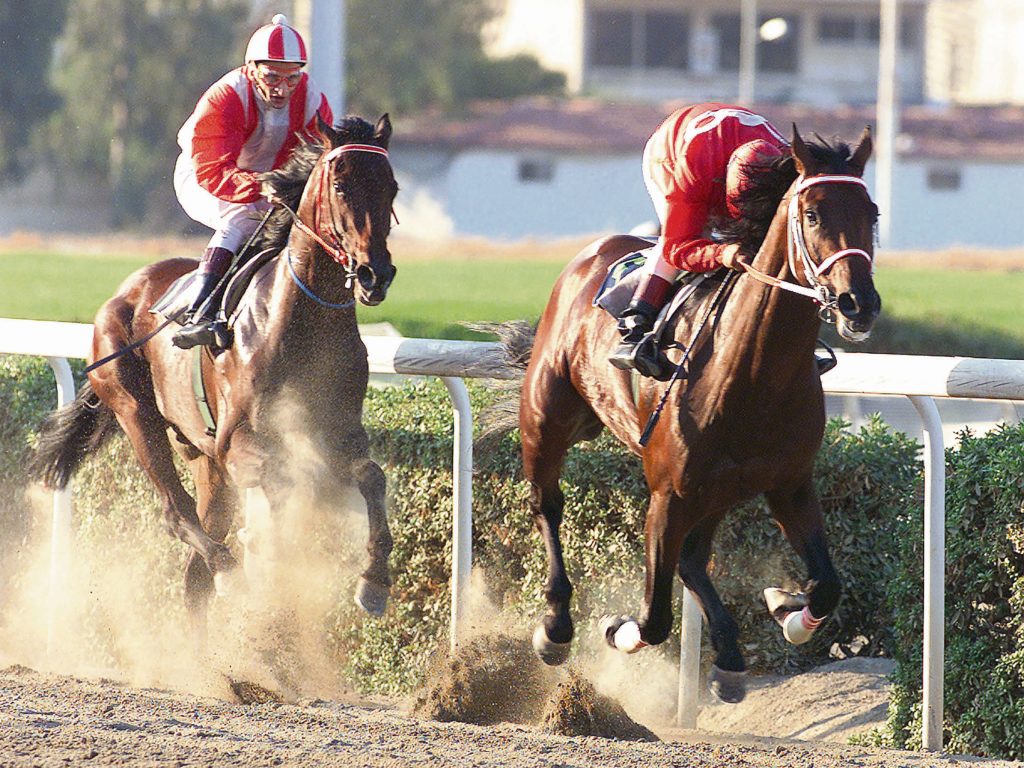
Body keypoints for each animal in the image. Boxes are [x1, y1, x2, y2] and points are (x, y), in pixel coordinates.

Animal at [29, 114, 397, 643]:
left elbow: (370, 475)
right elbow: (278, 480)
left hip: (204, 459)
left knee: (194, 572)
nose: (374, 275)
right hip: (137, 415)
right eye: (341, 185)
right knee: (177, 513)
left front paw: (374, 582)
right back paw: (230, 573)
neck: (304, 319)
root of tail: (125, 291)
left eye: (391, 187)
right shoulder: (236, 440)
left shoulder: (339, 429)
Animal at [512, 124, 880, 704]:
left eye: (873, 213)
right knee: (547, 505)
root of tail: (592, 254)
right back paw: (556, 626)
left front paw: (787, 609)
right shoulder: (668, 495)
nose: (857, 303)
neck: (754, 373)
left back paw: (730, 656)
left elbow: (827, 585)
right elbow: (654, 617)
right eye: (813, 214)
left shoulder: (790, 485)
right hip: (546, 420)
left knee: (692, 559)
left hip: (717, 489)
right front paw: (616, 627)